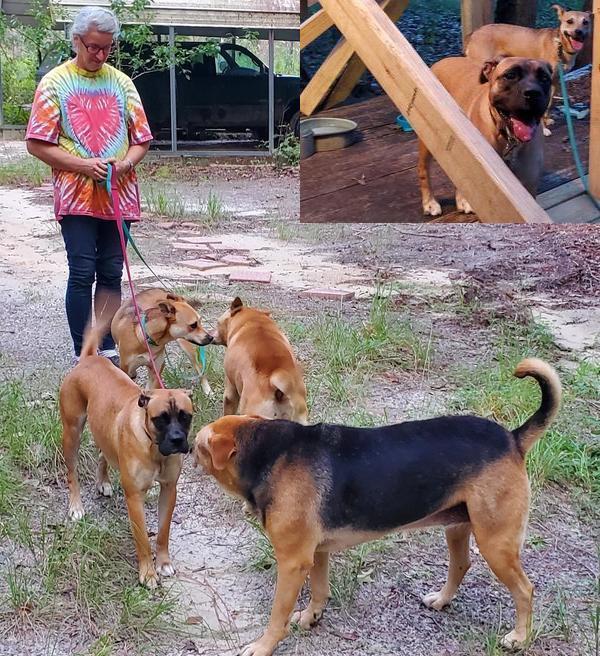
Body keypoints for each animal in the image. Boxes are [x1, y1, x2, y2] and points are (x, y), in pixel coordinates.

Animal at [418, 55, 552, 217]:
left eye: (544, 78)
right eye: (510, 75)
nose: (533, 93)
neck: (508, 139)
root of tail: (440, 61)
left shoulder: (529, 186)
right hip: (427, 140)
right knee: (424, 170)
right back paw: (430, 202)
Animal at [466, 3, 592, 135]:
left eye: (585, 22)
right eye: (569, 21)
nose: (578, 32)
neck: (560, 46)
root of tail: (473, 33)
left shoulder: (555, 82)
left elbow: (549, 104)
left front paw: (546, 121)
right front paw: (544, 129)